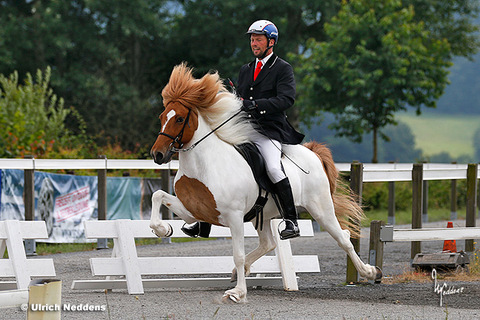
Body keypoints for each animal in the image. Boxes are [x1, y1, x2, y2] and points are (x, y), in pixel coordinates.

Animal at [150, 63, 378, 302]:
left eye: (179, 119)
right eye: (162, 116)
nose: (158, 155)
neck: (204, 165)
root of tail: (312, 152)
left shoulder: (234, 217)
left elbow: (238, 254)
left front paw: (238, 292)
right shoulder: (192, 211)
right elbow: (158, 196)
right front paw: (163, 229)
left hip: (321, 208)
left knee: (343, 238)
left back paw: (370, 272)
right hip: (262, 215)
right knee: (268, 243)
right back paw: (238, 271)